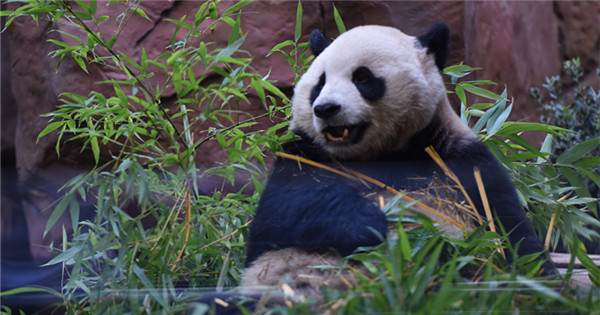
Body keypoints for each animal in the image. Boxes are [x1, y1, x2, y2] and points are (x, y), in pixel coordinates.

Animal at [199, 22, 556, 314]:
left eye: (363, 78)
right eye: (319, 83)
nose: (325, 108)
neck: (375, 154)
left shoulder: (461, 160)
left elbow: (508, 231)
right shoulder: (303, 155)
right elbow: (282, 214)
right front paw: (373, 224)